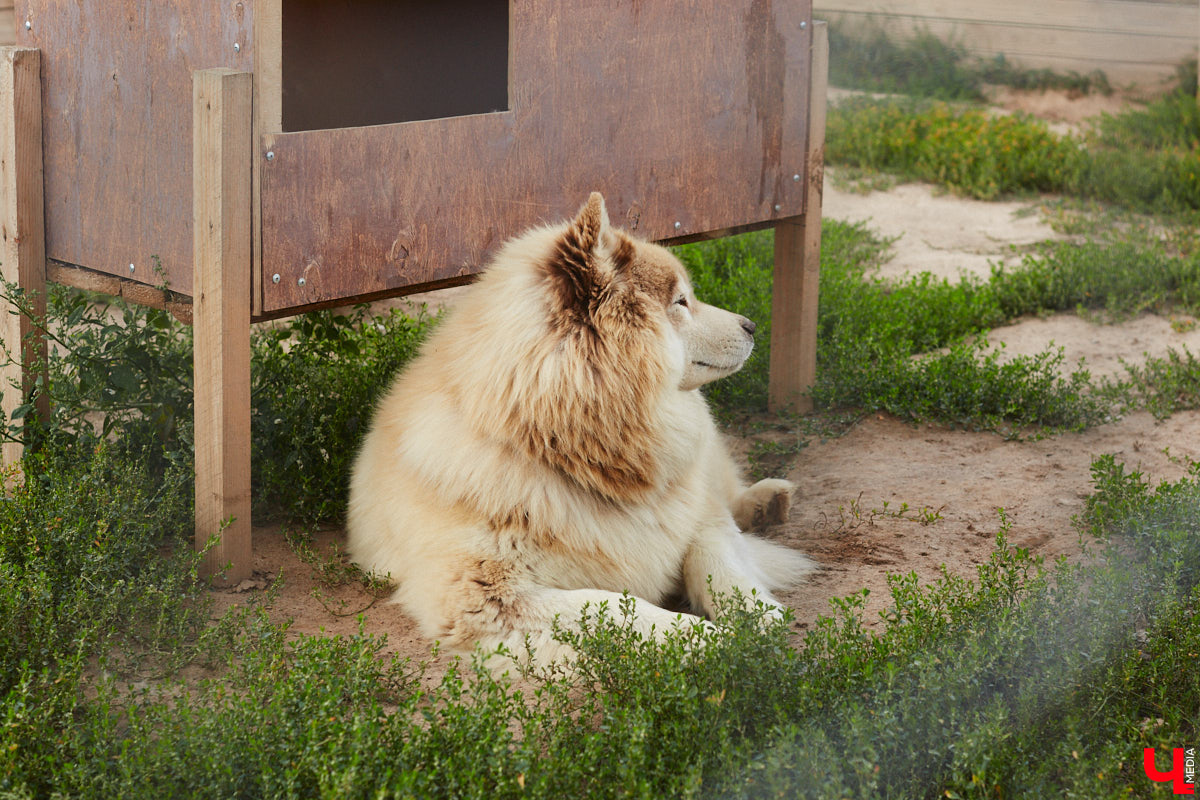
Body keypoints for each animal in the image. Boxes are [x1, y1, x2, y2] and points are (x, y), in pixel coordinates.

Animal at [348, 194, 816, 662]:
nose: (752, 326)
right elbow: (618, 607)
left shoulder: (696, 512)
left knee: (730, 493)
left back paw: (766, 501)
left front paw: (758, 616)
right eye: (681, 302)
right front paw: (714, 640)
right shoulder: (487, 595)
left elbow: (720, 559)